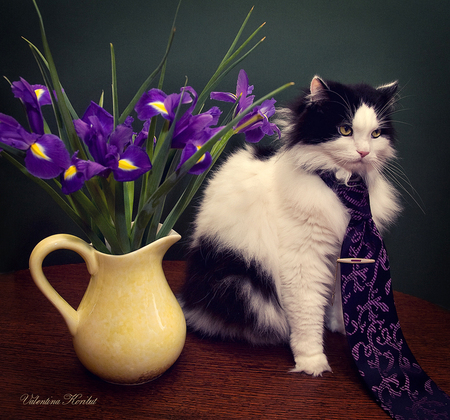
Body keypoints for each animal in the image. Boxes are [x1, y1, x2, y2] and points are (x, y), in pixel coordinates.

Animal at [178, 76, 400, 378]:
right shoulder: (303, 261)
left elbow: (341, 298)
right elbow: (307, 316)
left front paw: (342, 327)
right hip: (240, 286)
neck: (343, 186)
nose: (364, 152)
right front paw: (312, 363)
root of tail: (188, 301)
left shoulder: (341, 254)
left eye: (376, 134)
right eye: (345, 130)